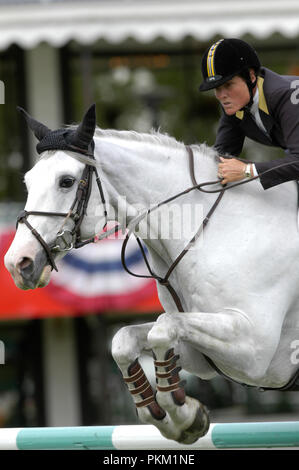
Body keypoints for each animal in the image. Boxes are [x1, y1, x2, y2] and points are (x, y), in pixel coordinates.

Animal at [4, 103, 299, 444]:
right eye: (28, 182)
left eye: (66, 181)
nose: (18, 263)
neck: (214, 229)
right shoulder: (203, 355)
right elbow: (126, 340)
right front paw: (180, 416)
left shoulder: (254, 350)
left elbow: (162, 328)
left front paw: (183, 416)